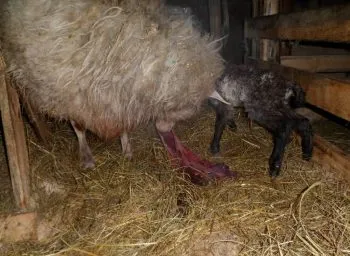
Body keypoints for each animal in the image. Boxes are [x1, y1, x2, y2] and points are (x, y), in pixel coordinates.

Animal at [0, 0, 237, 183]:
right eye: (184, 105)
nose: (165, 128)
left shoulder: (119, 98)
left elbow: (123, 126)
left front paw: (127, 150)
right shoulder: (71, 93)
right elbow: (78, 127)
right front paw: (86, 158)